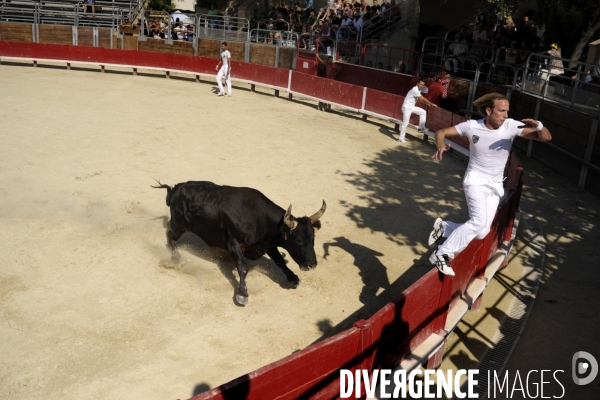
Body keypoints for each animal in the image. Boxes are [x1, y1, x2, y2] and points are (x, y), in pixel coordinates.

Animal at [152, 181, 326, 306]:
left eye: (313, 238)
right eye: (298, 240)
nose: (312, 265)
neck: (258, 218)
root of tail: (175, 189)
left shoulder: (268, 244)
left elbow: (280, 261)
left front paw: (293, 278)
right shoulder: (234, 245)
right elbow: (242, 268)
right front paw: (242, 294)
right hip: (179, 225)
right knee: (170, 235)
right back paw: (175, 257)